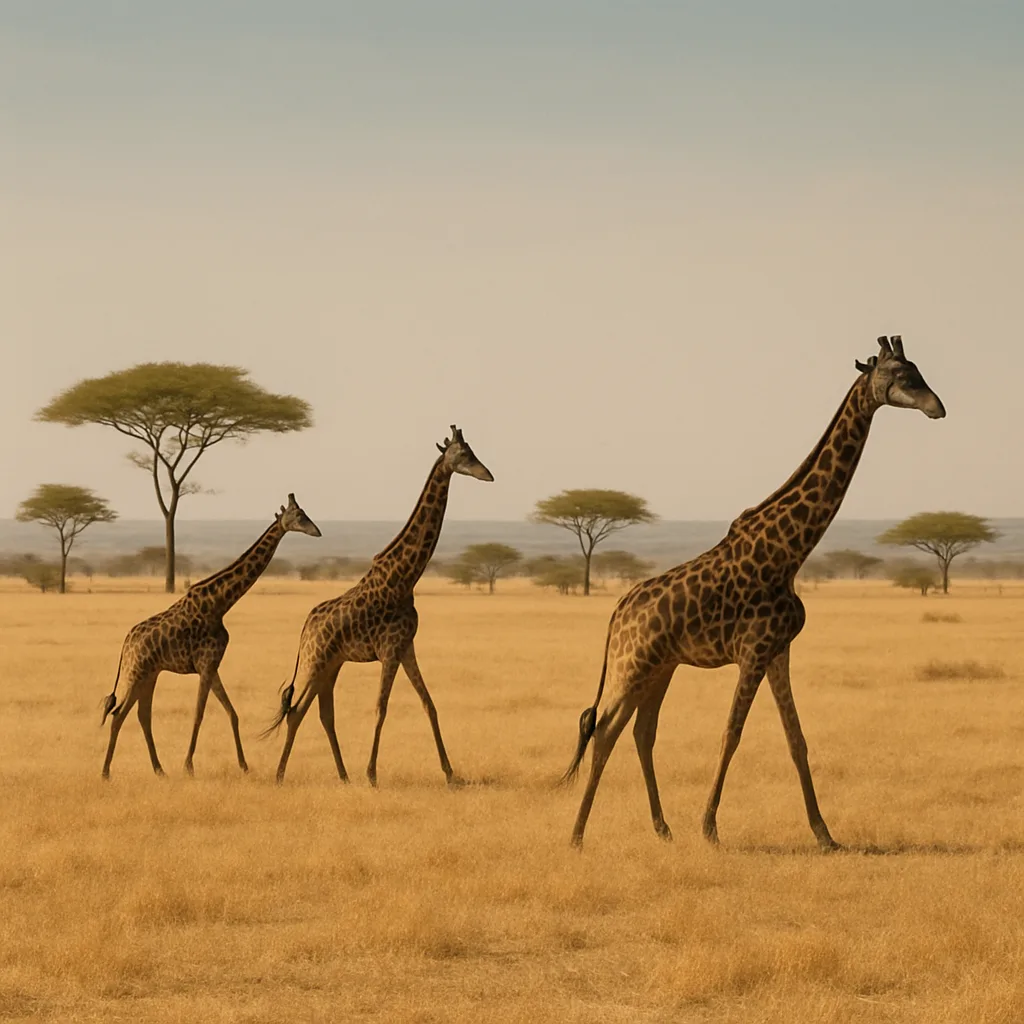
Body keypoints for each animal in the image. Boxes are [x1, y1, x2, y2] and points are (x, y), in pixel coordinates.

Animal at [100, 494, 321, 779]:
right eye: (299, 516)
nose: (317, 531)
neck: (220, 604)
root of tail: (126, 642)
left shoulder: (212, 665)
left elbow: (232, 712)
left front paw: (244, 765)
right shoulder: (205, 665)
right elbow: (199, 714)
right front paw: (188, 766)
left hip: (150, 674)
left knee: (141, 715)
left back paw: (159, 770)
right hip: (136, 671)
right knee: (119, 714)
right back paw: (106, 772)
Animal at [267, 426, 493, 786]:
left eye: (472, 451)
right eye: (462, 455)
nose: (488, 474)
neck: (405, 578)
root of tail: (305, 627)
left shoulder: (406, 646)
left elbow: (429, 704)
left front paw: (450, 774)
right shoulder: (389, 648)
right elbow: (381, 708)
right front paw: (372, 774)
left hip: (331, 664)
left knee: (318, 712)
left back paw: (340, 776)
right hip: (316, 660)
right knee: (297, 711)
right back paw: (280, 775)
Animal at [563, 336, 945, 850]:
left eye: (918, 370)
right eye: (901, 375)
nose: (937, 407)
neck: (790, 553)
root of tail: (617, 612)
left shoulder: (778, 650)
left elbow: (796, 739)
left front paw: (825, 835)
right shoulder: (753, 650)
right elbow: (732, 733)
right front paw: (709, 828)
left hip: (661, 667)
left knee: (641, 732)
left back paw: (662, 829)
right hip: (633, 663)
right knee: (604, 731)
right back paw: (577, 835)